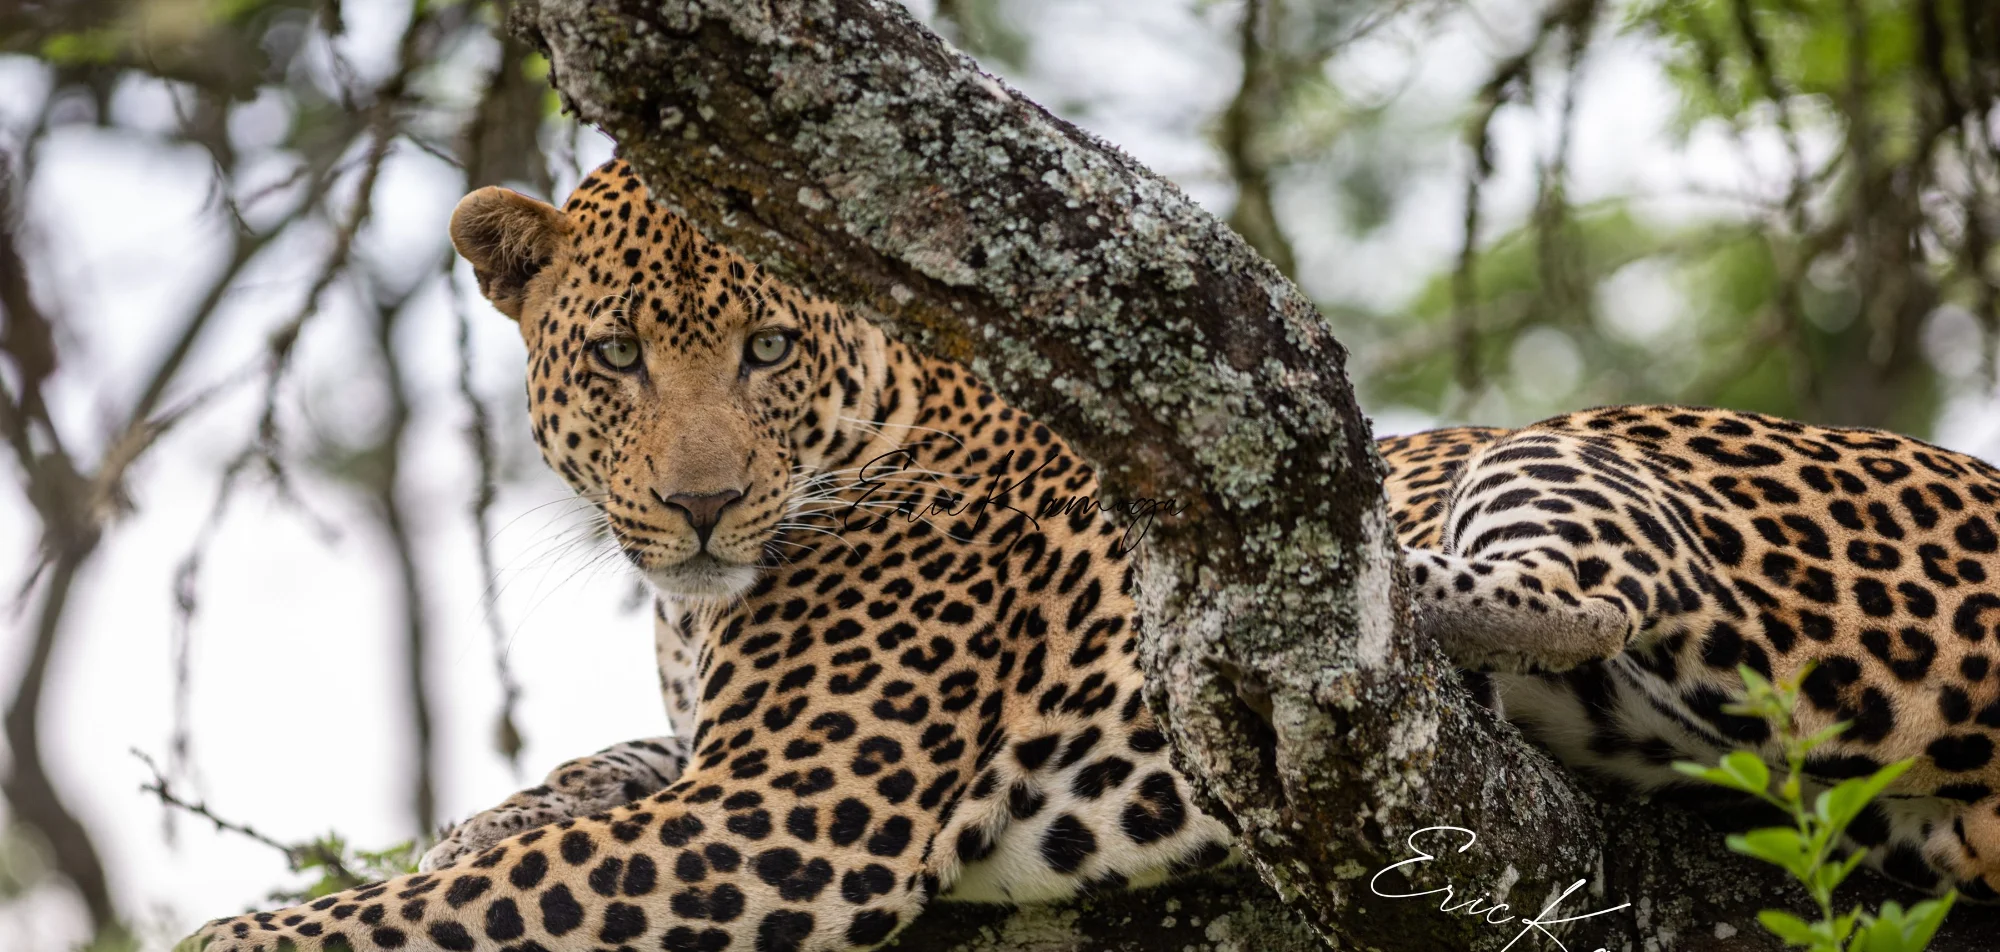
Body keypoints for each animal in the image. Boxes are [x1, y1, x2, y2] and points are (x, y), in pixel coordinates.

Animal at [179, 160, 2000, 952]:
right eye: (618, 355)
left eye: (767, 350)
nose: (699, 506)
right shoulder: (722, 763)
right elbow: (558, 793)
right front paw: (481, 811)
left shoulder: (795, 815)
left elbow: (451, 903)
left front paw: (252, 933)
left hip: (1590, 455)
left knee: (1579, 585)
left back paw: (1301, 610)